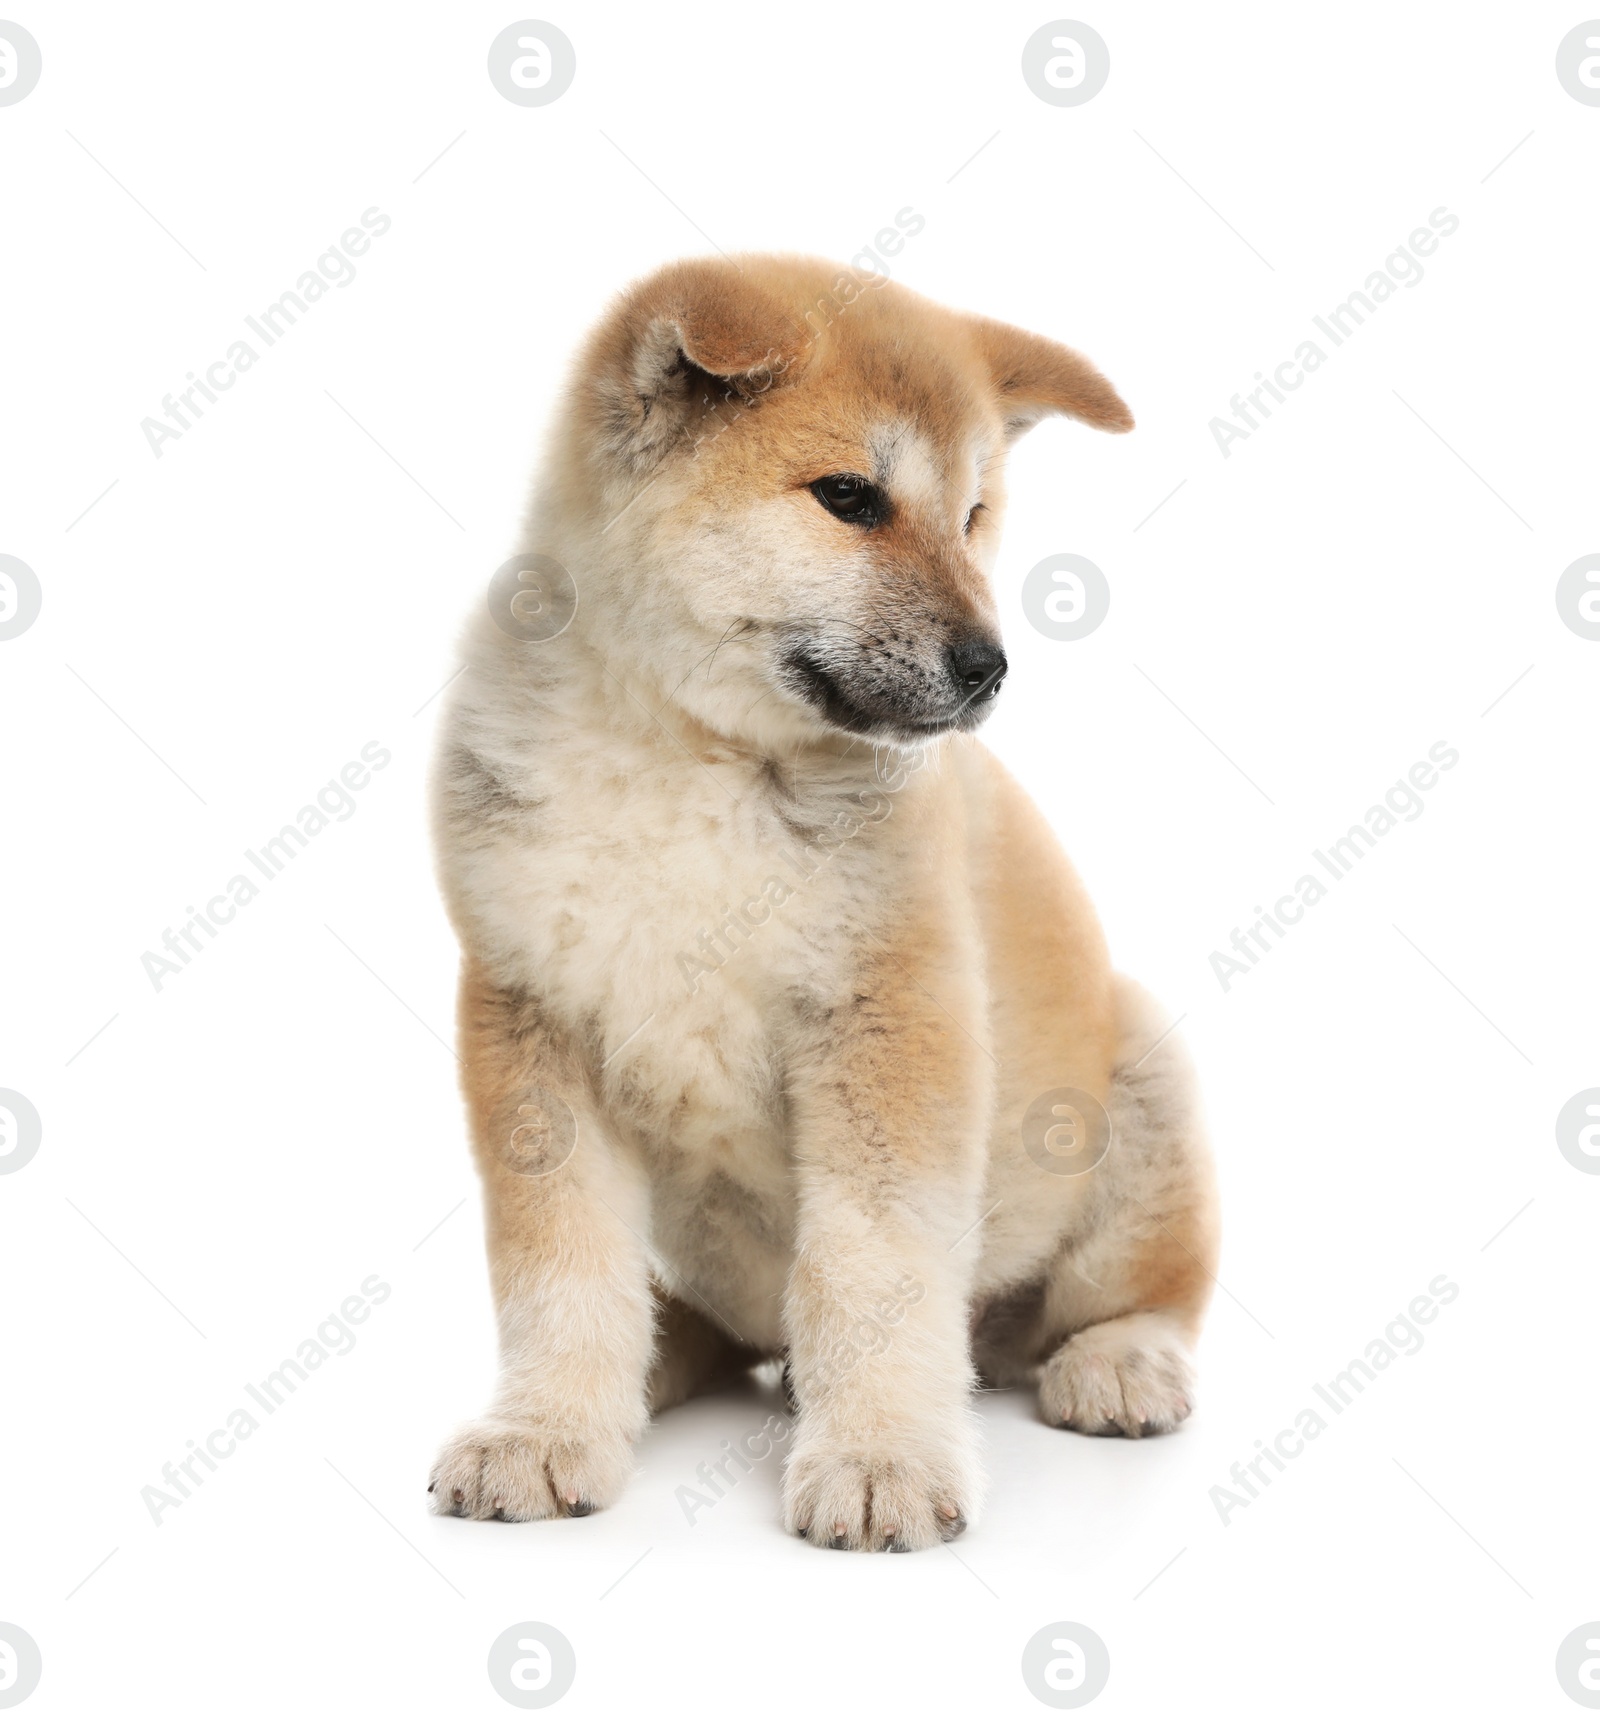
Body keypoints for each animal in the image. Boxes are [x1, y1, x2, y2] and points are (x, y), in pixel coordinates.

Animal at [423, 256, 1210, 1557]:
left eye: (974, 515)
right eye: (849, 497)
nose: (990, 667)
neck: (683, 750)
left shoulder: (885, 1017)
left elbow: (869, 1265)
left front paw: (881, 1454)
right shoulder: (529, 1017)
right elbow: (559, 1269)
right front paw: (544, 1427)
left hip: (1139, 1081)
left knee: (1139, 1292)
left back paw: (1118, 1363)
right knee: (708, 1322)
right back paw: (659, 1359)